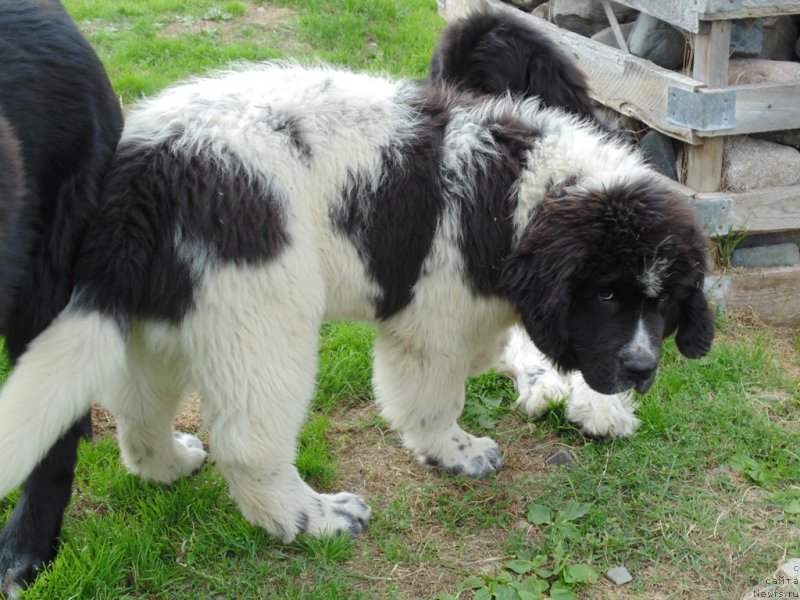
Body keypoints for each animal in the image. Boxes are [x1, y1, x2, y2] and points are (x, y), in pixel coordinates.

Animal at [0, 62, 712, 544]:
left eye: (666, 302)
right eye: (607, 293)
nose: (642, 371)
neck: (526, 195)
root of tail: (147, 176)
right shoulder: (433, 318)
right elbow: (433, 399)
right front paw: (457, 453)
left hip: (167, 310)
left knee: (139, 410)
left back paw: (171, 465)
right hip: (262, 314)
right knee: (247, 443)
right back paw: (312, 518)